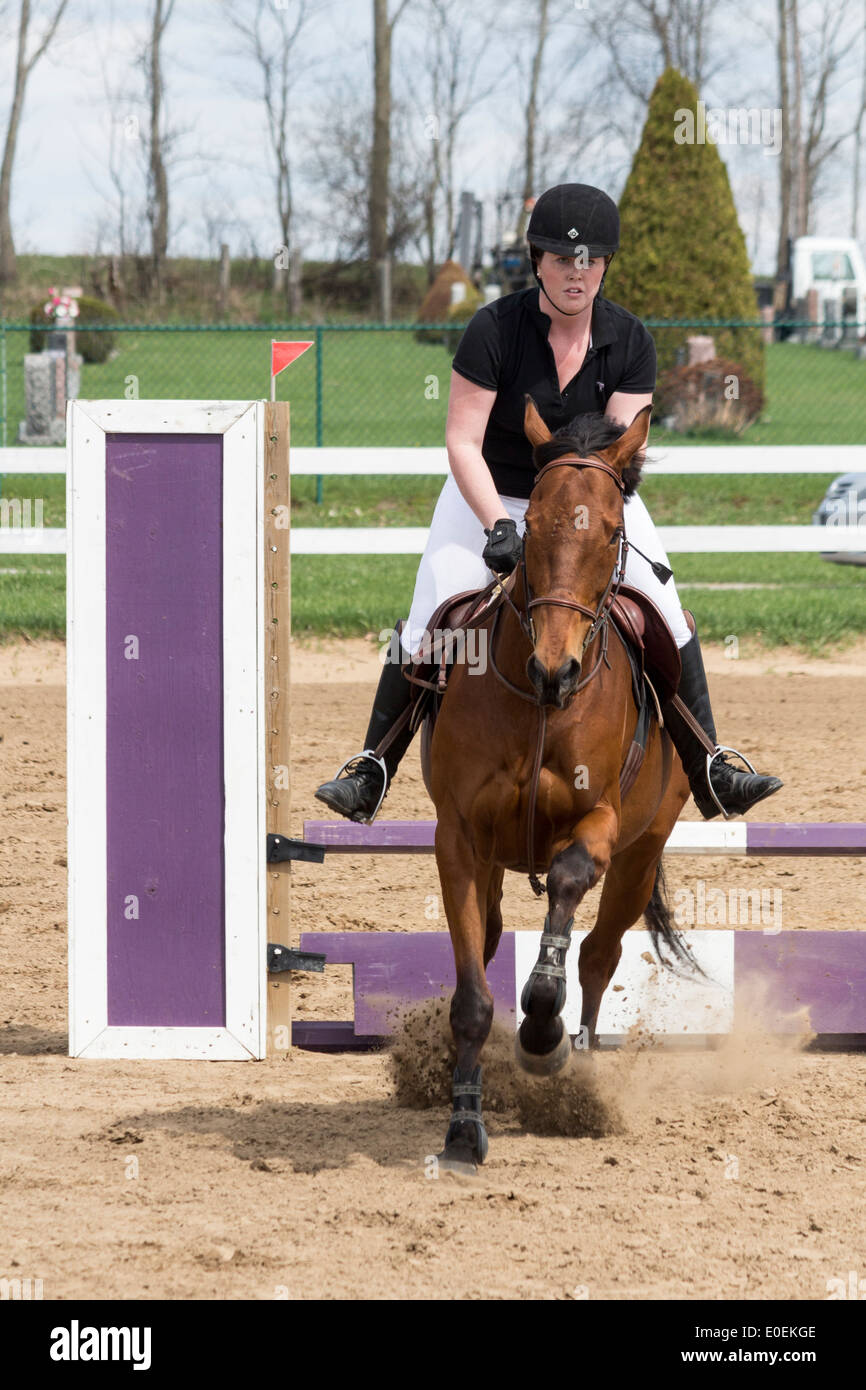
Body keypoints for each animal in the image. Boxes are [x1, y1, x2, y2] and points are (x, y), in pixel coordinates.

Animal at [422, 403, 695, 1173]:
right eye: (533, 527)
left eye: (608, 531)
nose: (556, 669)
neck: (539, 705)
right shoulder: (459, 837)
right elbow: (472, 992)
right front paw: (463, 1129)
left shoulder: (599, 821)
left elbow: (570, 882)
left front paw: (543, 1029)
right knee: (489, 937)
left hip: (641, 853)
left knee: (601, 953)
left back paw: (579, 1061)